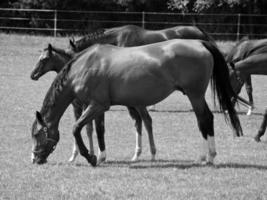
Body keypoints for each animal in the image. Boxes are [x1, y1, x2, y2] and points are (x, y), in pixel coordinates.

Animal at [30, 38, 244, 166]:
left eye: (37, 134)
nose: (34, 158)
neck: (84, 66)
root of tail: (199, 43)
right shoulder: (95, 107)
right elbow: (96, 130)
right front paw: (99, 155)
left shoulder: (97, 105)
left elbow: (77, 128)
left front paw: (91, 157)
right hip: (194, 95)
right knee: (205, 120)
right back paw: (205, 156)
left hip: (195, 95)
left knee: (204, 119)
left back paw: (208, 157)